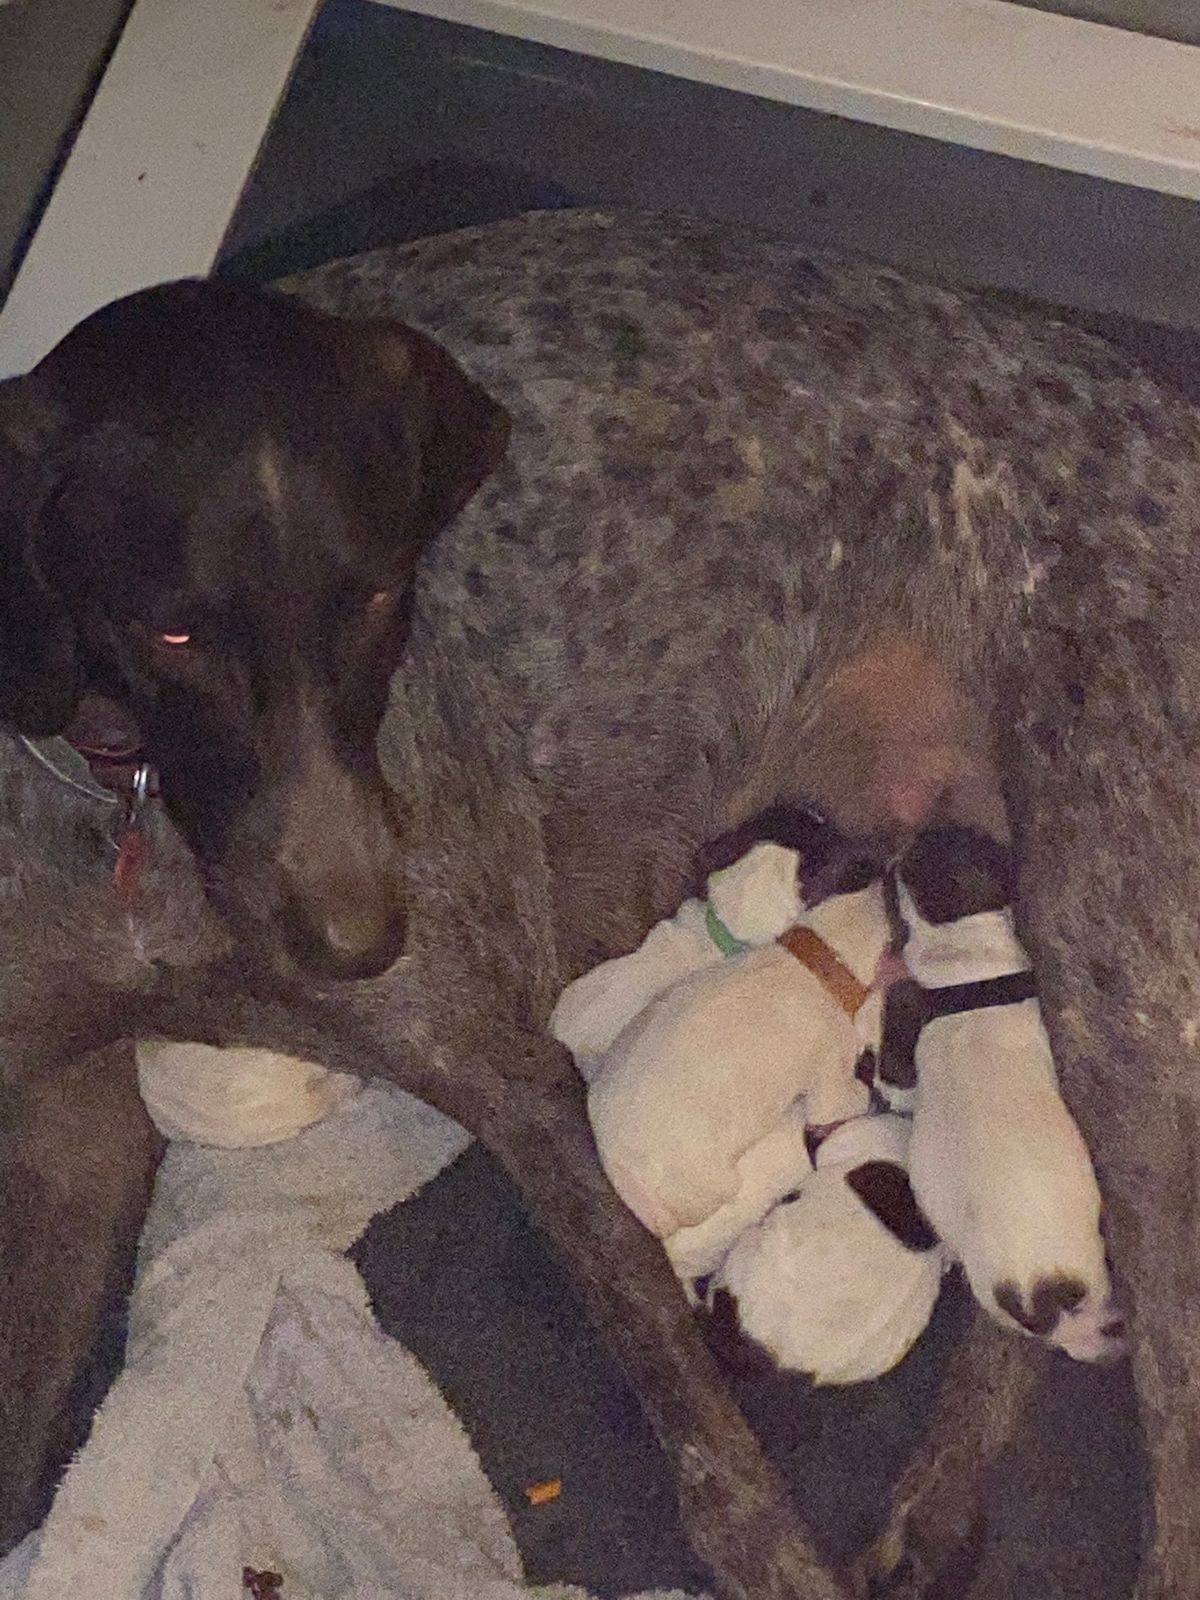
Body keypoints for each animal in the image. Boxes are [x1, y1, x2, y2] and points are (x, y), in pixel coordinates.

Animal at [3, 208, 1200, 1600]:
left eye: (379, 594)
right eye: (174, 634)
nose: (365, 938)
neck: (128, 799)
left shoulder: (517, 1086)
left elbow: (704, 1442)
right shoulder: (67, 1129)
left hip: (1119, 986)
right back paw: (940, 1498)